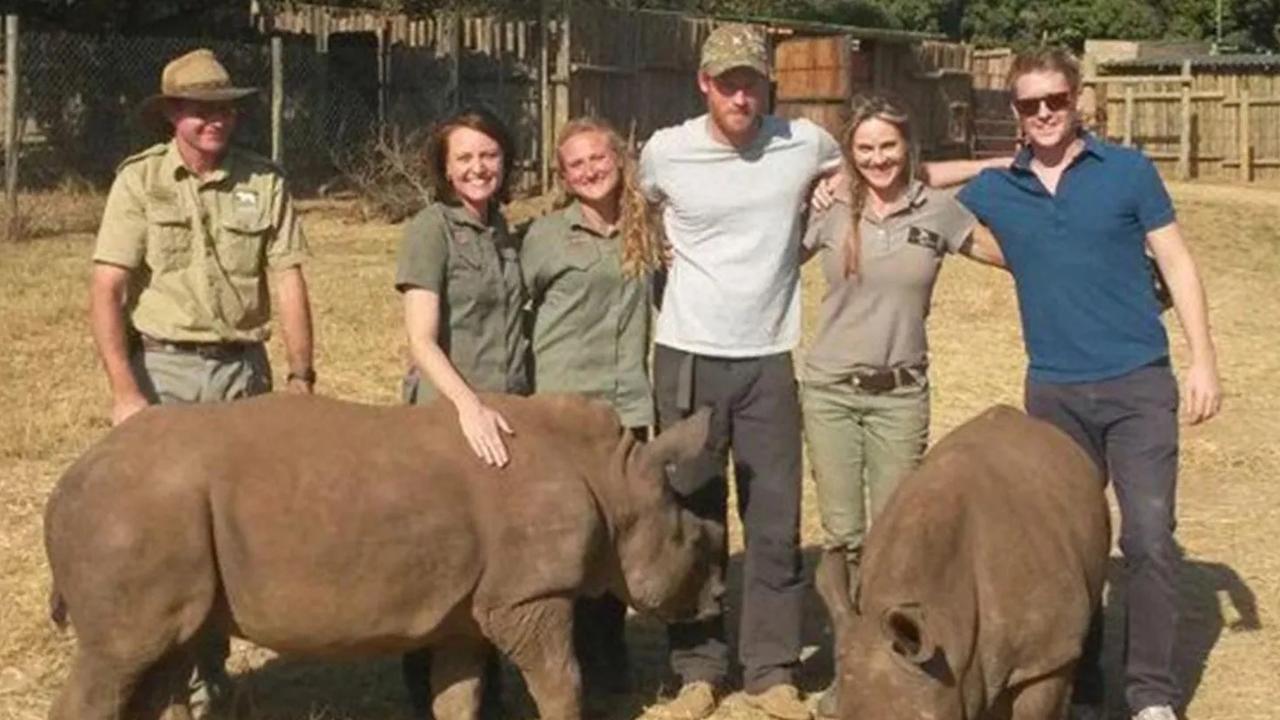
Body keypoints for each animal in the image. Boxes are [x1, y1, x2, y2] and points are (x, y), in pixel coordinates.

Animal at [45, 392, 727, 717]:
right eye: (695, 543)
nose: (719, 597)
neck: (619, 482)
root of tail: (64, 486)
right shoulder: (530, 593)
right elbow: (562, 682)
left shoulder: (473, 606)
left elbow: (458, 694)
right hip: (131, 516)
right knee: (120, 658)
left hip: (152, 520)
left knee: (162, 655)